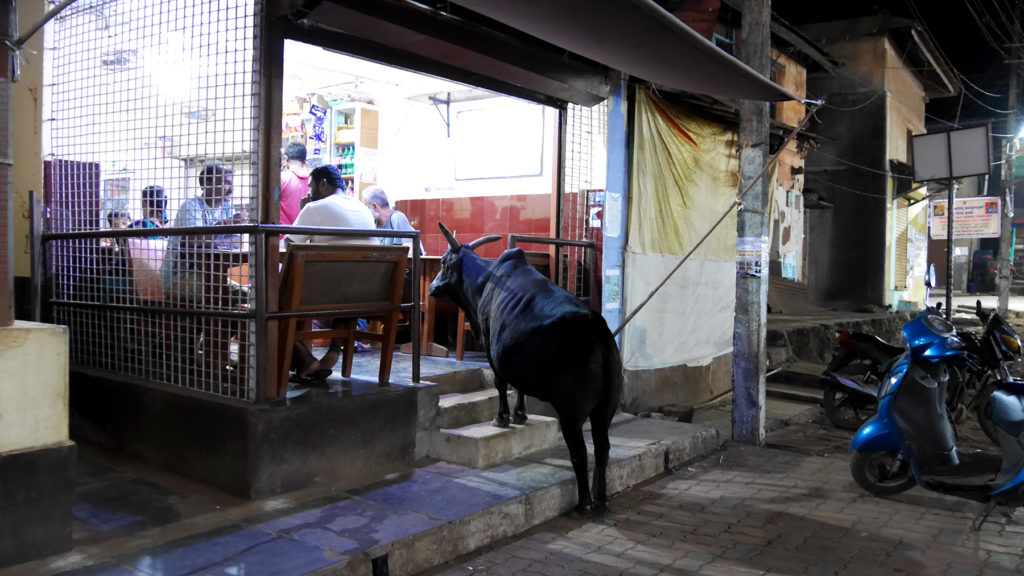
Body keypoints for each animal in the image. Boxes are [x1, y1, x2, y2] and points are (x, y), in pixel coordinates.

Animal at [425, 220, 622, 510]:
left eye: (443, 263)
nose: (431, 287)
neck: (483, 282)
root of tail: (597, 327)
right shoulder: (516, 360)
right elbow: (519, 387)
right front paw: (520, 415)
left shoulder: (490, 346)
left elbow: (500, 383)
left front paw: (502, 418)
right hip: (605, 409)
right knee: (603, 449)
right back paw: (601, 500)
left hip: (572, 412)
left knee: (580, 451)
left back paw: (584, 503)